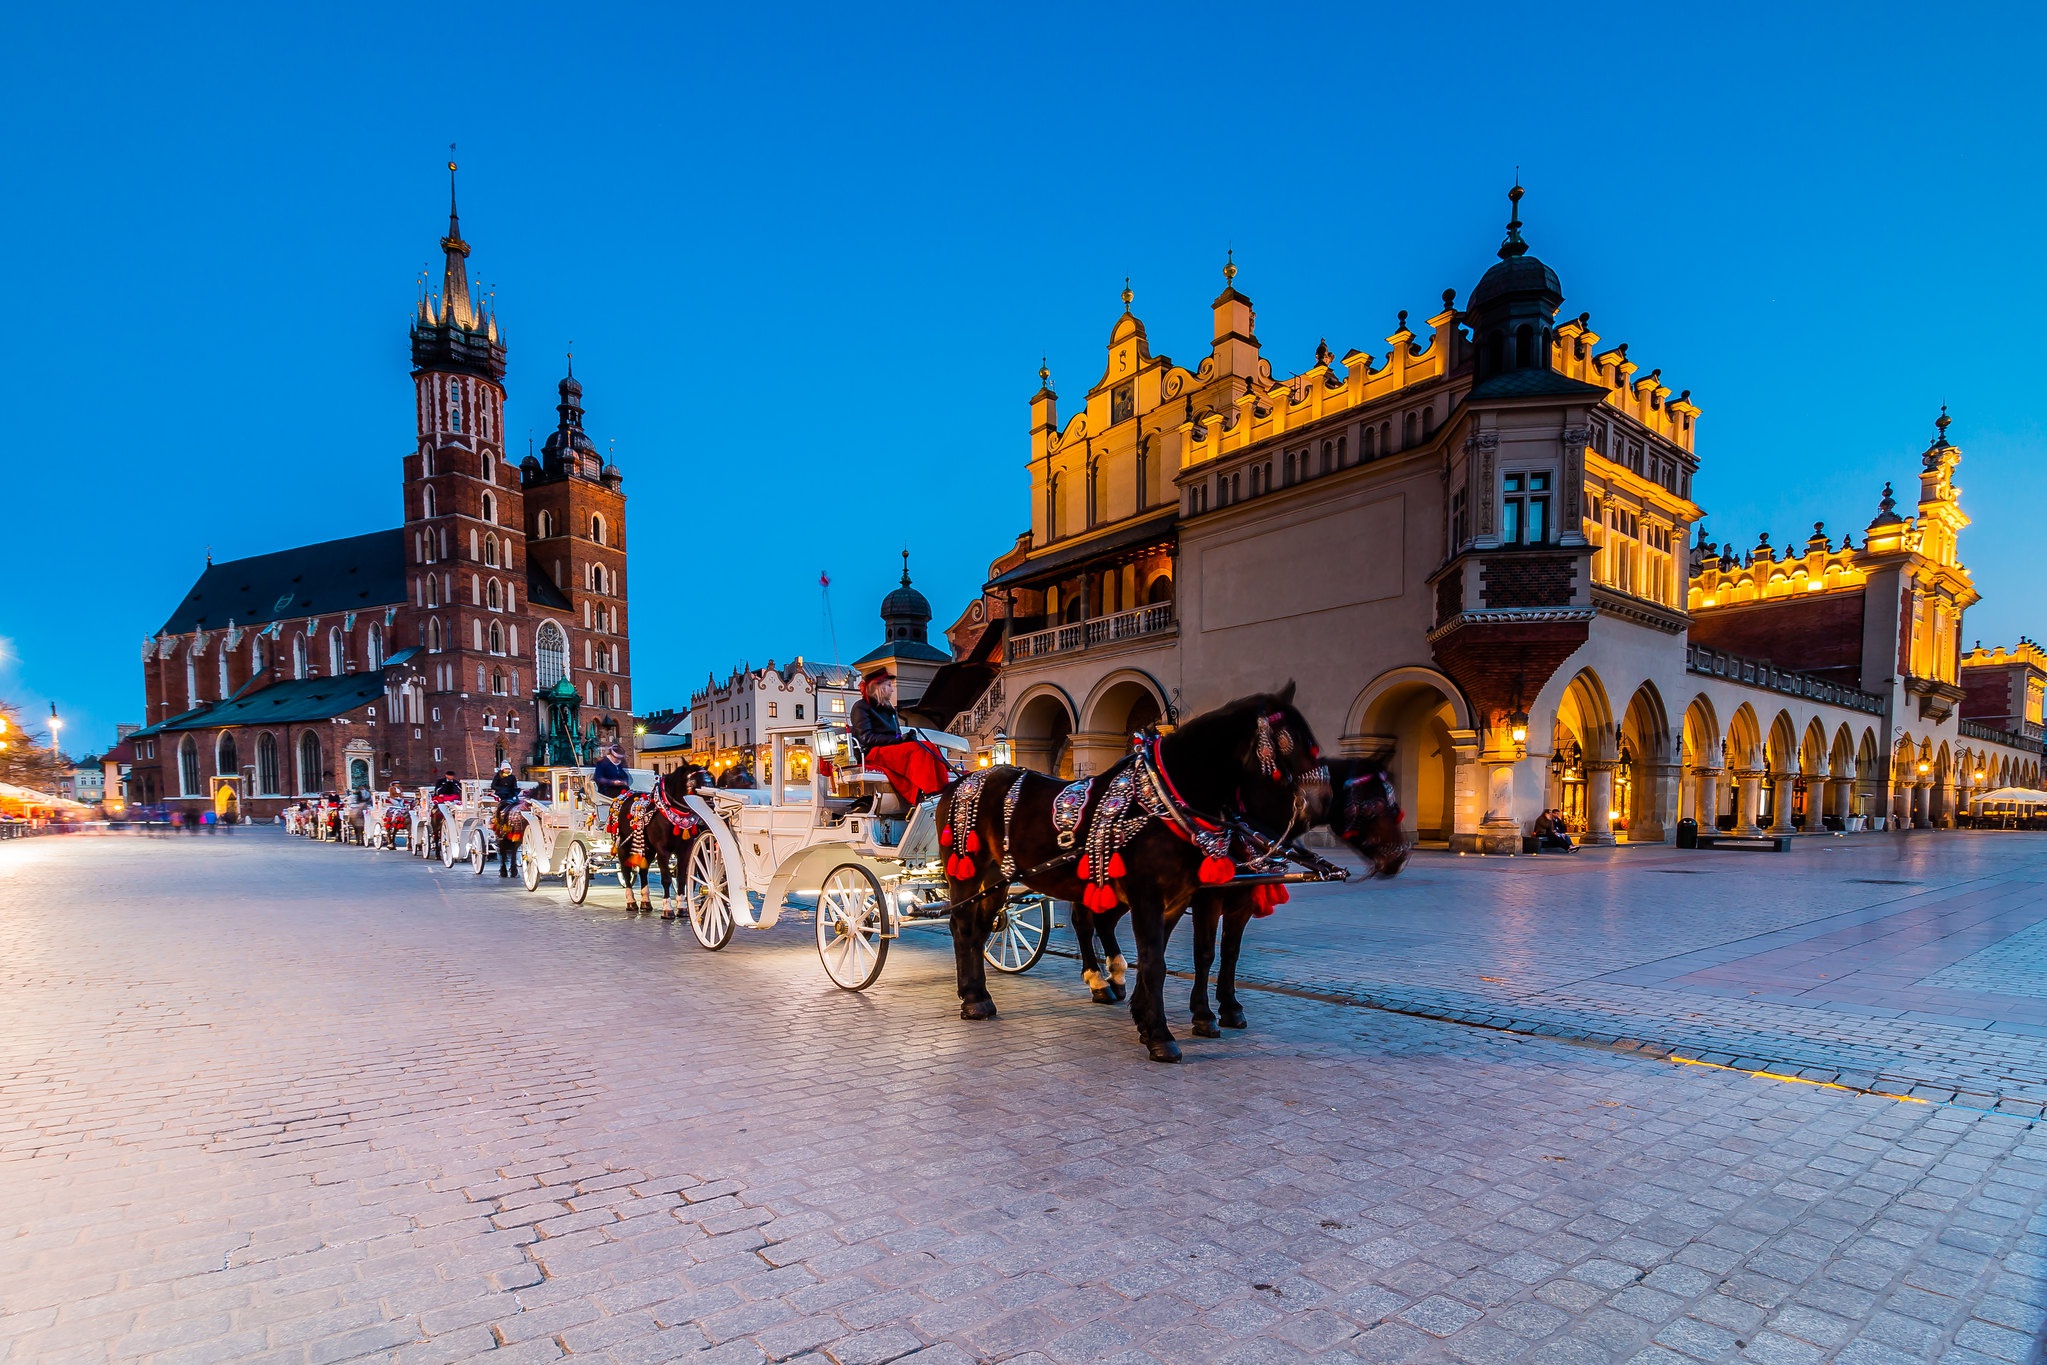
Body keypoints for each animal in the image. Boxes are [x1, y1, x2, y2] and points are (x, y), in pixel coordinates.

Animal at [937, 687, 1318, 1064]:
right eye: (1288, 744)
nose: (1309, 811)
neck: (1164, 803)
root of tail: (960, 782)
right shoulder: (1164, 898)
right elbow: (1167, 962)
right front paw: (1165, 1035)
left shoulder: (1182, 900)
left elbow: (1185, 956)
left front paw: (1150, 1018)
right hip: (967, 871)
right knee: (964, 926)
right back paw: (975, 1000)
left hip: (997, 879)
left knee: (992, 928)